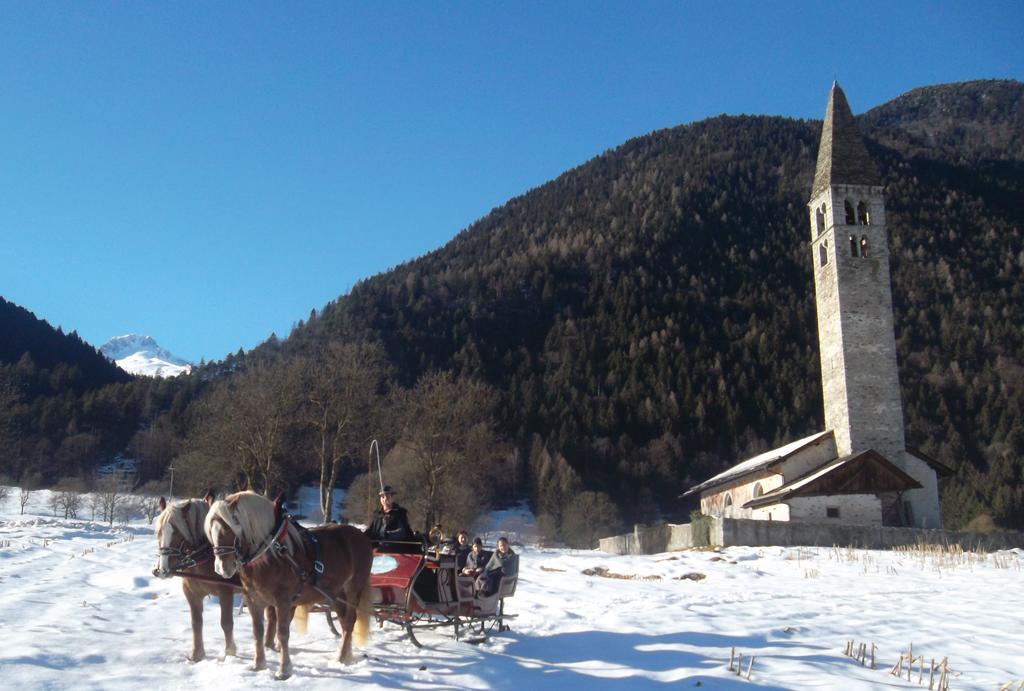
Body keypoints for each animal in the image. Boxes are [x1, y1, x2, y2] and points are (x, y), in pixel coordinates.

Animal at [152, 495, 240, 663]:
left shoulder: (225, 592)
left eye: (177, 532)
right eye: (158, 532)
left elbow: (226, 623)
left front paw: (229, 653)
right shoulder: (192, 594)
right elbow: (196, 623)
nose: (162, 570)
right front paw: (197, 653)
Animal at [203, 491, 372, 679]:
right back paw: (345, 655)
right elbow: (257, 632)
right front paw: (258, 665)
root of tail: (361, 536)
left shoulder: (282, 600)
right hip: (335, 593)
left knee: (349, 621)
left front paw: (284, 670)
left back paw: (342, 657)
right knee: (344, 622)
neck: (272, 555)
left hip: (353, 589)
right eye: (210, 531)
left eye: (230, 529)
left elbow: (282, 633)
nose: (222, 568)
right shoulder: (254, 599)